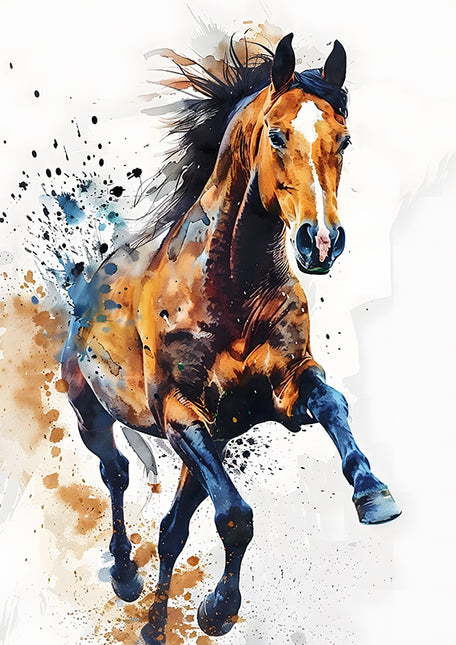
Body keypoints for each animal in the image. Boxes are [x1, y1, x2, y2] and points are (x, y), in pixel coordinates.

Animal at [60, 33, 401, 644]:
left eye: (344, 139)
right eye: (278, 134)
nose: (321, 242)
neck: (228, 288)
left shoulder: (279, 392)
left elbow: (331, 401)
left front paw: (372, 492)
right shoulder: (179, 414)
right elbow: (236, 518)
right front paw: (217, 609)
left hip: (211, 441)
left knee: (171, 528)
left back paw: (153, 624)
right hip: (91, 412)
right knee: (115, 473)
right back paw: (123, 574)